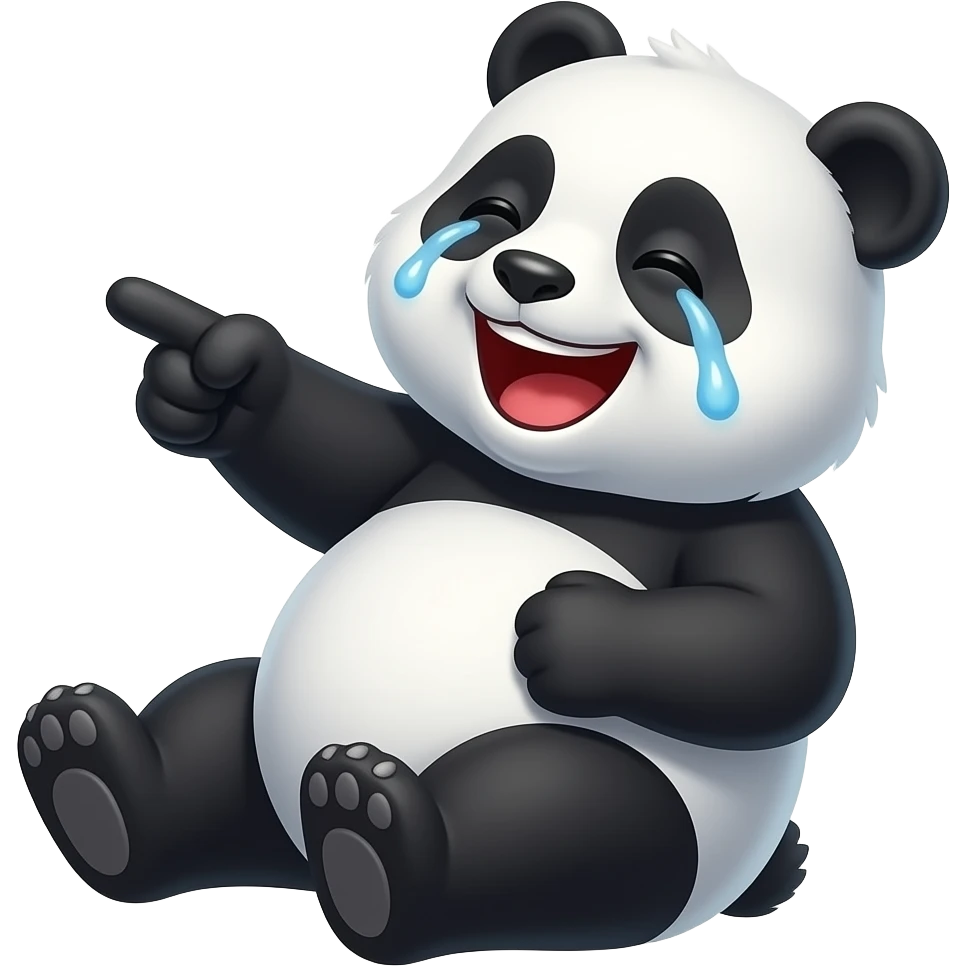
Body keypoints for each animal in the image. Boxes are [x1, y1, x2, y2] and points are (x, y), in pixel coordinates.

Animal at [19, 2, 948, 963]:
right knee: (214, 722)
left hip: (643, 818)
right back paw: (95, 776)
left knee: (567, 815)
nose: (529, 274)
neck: (558, 479)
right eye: (496, 210)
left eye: (665, 266)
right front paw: (217, 374)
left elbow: (782, 655)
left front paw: (573, 626)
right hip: (259, 729)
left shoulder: (752, 521)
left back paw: (374, 840)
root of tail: (298, 848)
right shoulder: (438, 453)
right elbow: (335, 466)